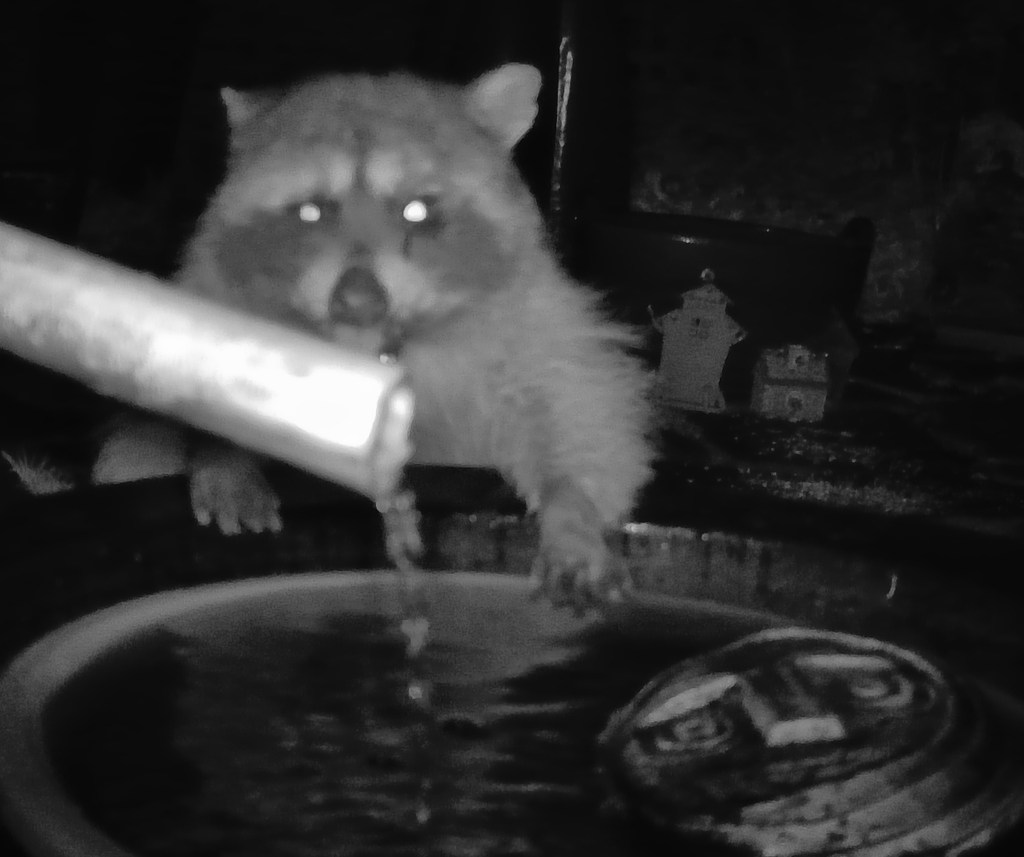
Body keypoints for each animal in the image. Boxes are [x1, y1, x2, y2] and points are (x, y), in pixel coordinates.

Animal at [96, 64, 653, 611]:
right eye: (312, 211)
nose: (358, 300)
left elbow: (576, 416)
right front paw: (222, 454)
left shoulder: (536, 328)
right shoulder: (214, 300)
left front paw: (571, 509)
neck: (375, 346)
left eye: (416, 211)